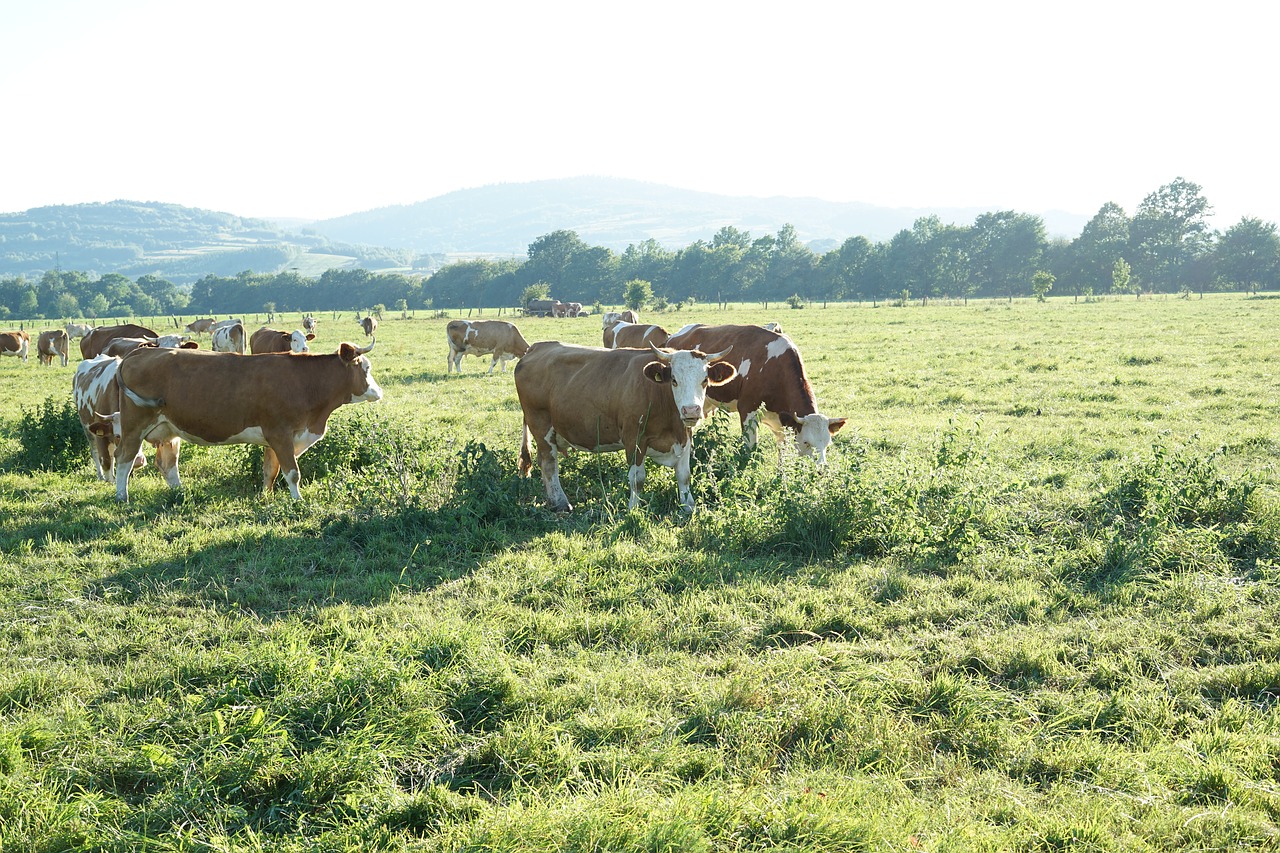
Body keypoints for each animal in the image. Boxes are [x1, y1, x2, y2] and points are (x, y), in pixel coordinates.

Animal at [74, 353, 172, 484]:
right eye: (118, 435)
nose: (139, 460)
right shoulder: (101, 436)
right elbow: (106, 460)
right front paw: (110, 481)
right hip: (86, 428)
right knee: (95, 452)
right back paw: (100, 475)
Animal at [110, 338, 381, 499]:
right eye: (365, 368)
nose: (379, 392)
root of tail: (137, 353)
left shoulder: (276, 439)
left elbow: (270, 471)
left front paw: (266, 498)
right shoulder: (280, 433)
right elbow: (292, 472)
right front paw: (297, 501)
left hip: (168, 428)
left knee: (167, 464)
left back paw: (181, 493)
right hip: (134, 425)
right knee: (123, 458)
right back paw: (122, 497)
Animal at [509, 340, 732, 512]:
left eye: (705, 380)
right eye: (674, 380)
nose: (691, 410)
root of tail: (537, 347)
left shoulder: (685, 435)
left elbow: (684, 475)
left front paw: (688, 507)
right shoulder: (634, 437)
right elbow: (637, 478)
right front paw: (634, 509)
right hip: (540, 423)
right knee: (549, 463)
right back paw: (561, 503)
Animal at [665, 322, 844, 461]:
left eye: (827, 444)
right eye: (806, 442)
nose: (821, 470)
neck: (776, 369)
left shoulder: (782, 423)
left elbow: (782, 455)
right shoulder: (747, 409)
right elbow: (750, 450)